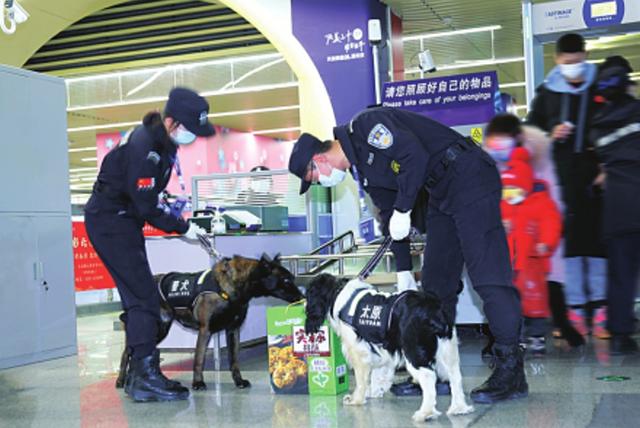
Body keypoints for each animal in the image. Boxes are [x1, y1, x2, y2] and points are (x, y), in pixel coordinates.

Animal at [117, 254, 302, 392]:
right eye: (286, 280)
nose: (302, 297)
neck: (229, 288)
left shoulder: (233, 330)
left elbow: (234, 361)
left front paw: (239, 381)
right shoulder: (205, 331)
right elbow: (199, 360)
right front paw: (198, 383)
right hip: (156, 329)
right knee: (127, 352)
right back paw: (121, 380)